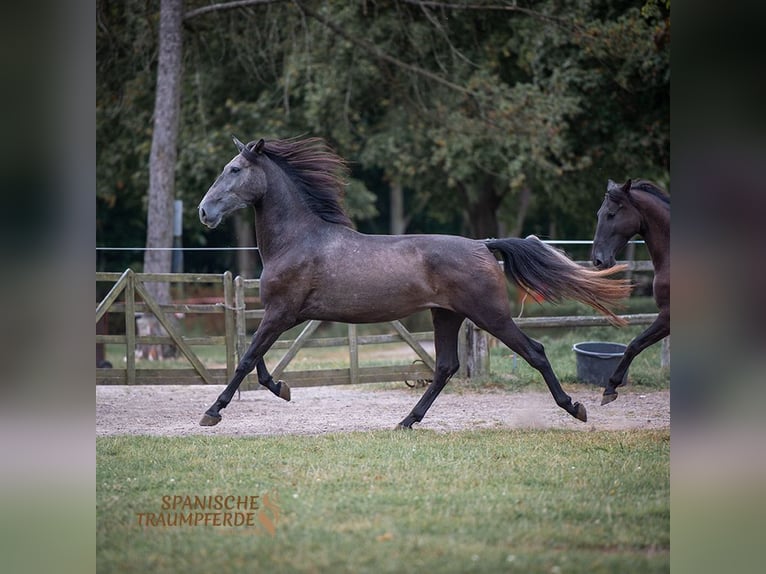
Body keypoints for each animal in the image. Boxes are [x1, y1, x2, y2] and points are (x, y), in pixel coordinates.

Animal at [200, 137, 636, 430]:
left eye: (234, 170)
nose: (205, 211)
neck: (299, 240)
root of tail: (483, 245)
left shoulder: (282, 312)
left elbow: (246, 360)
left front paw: (212, 412)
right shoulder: (279, 314)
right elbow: (255, 359)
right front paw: (283, 388)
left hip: (490, 315)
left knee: (535, 352)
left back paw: (576, 407)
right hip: (446, 316)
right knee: (446, 367)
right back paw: (407, 421)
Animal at [592, 178, 672, 408]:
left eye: (611, 214)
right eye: (598, 214)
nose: (598, 260)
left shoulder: (668, 315)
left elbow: (634, 345)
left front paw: (610, 388)